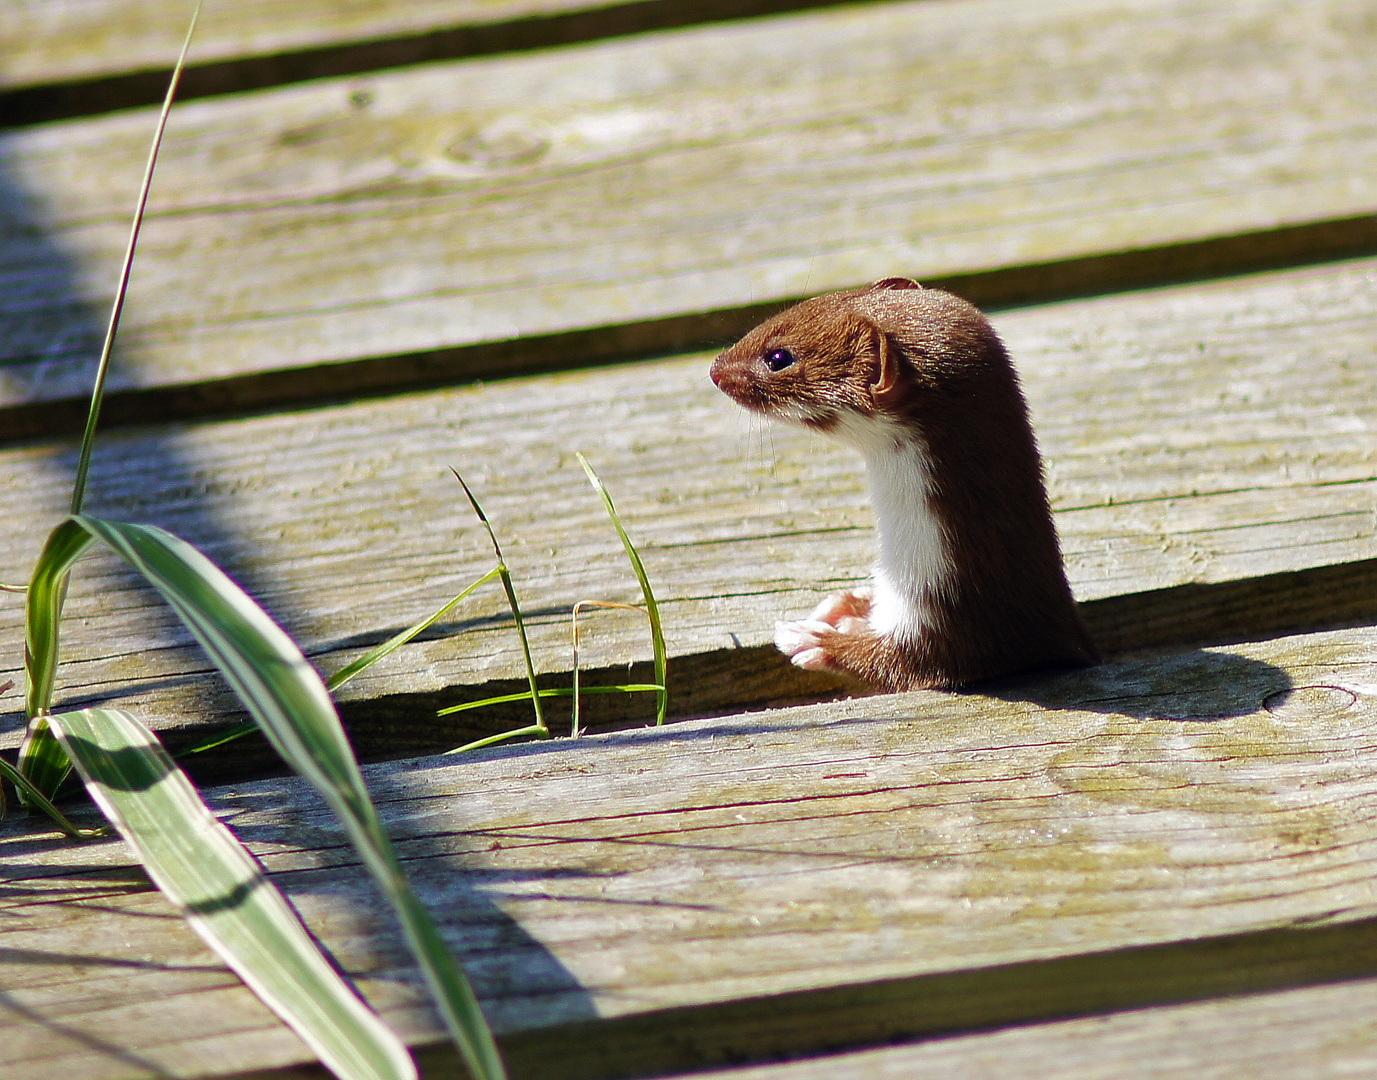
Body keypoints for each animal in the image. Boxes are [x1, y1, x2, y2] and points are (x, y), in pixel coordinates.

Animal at [710, 274, 1096, 688]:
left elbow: (898, 661)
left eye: (778, 357)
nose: (715, 368)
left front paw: (812, 639)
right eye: (794, 309)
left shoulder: (954, 626)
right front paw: (847, 604)